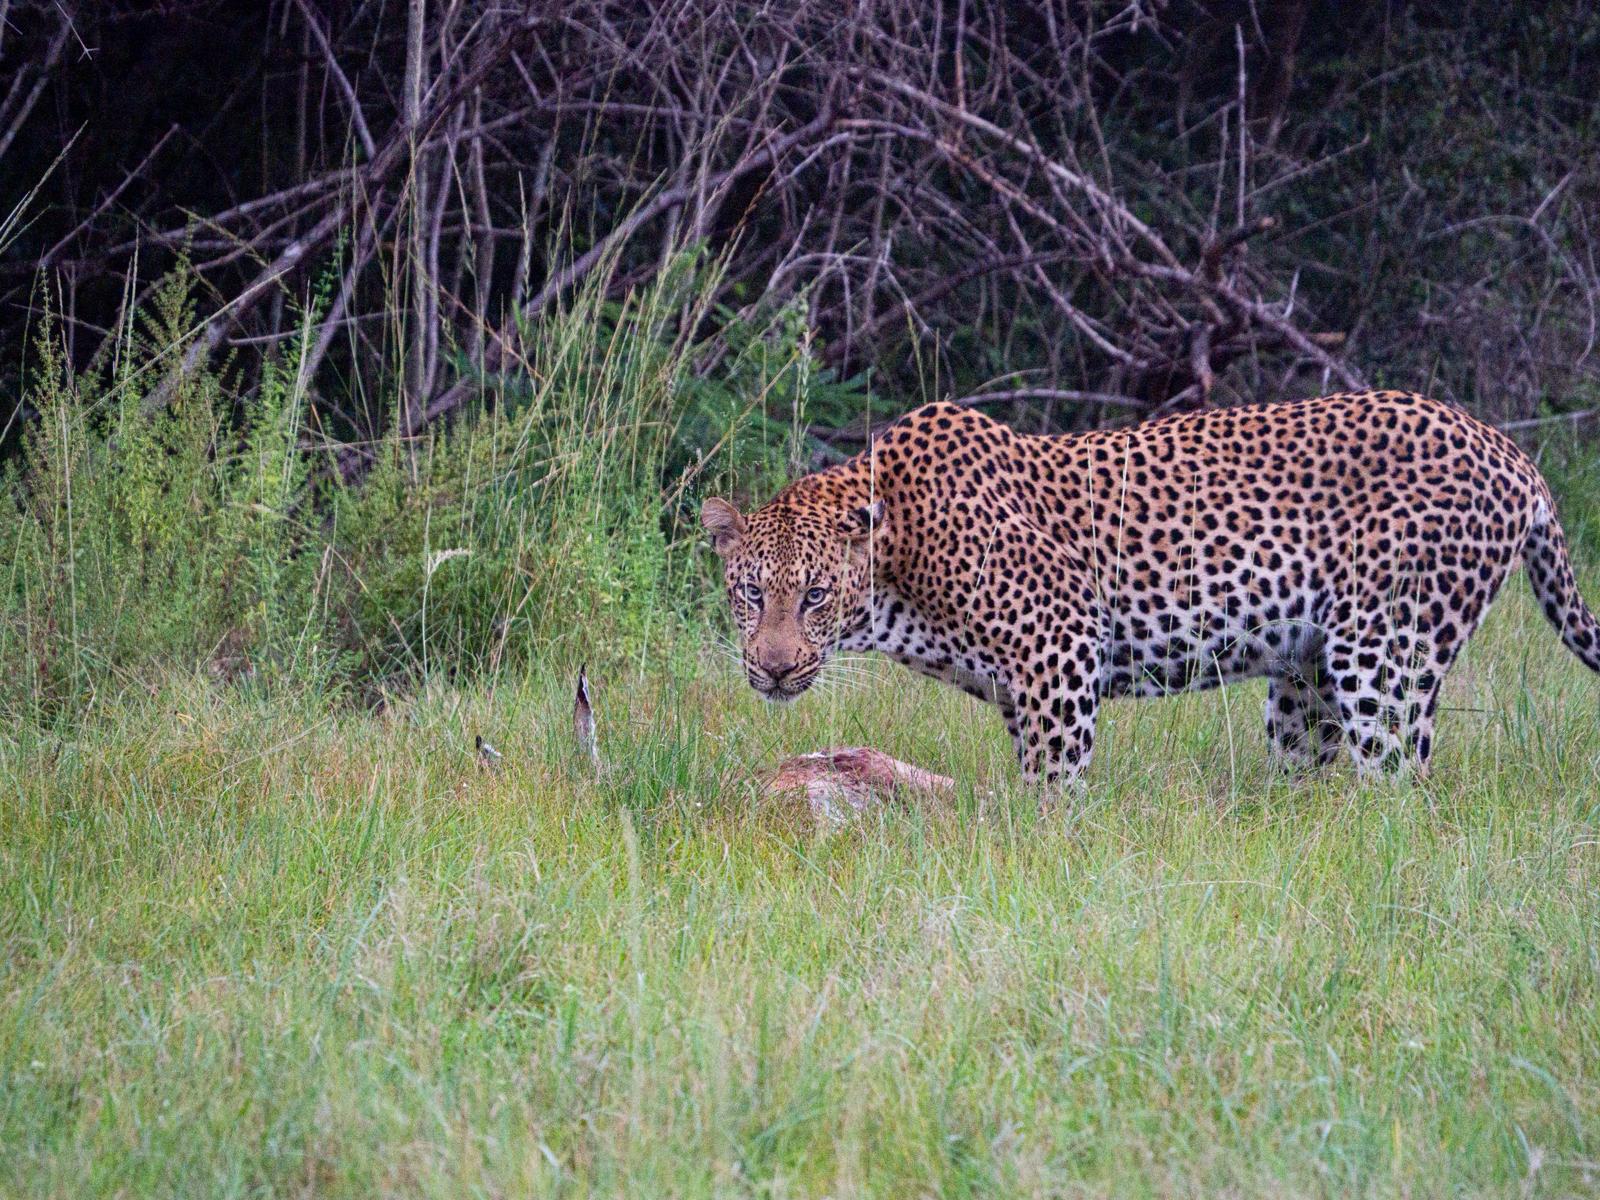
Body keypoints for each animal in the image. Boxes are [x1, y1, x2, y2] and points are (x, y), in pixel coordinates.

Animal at [702, 391, 1600, 790]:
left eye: (815, 595)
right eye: (749, 594)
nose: (772, 668)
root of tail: (1511, 452)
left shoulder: (1059, 647)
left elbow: (1054, 782)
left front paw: (1047, 857)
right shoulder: (1018, 686)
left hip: (1387, 654)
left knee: (1404, 786)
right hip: (1304, 680)